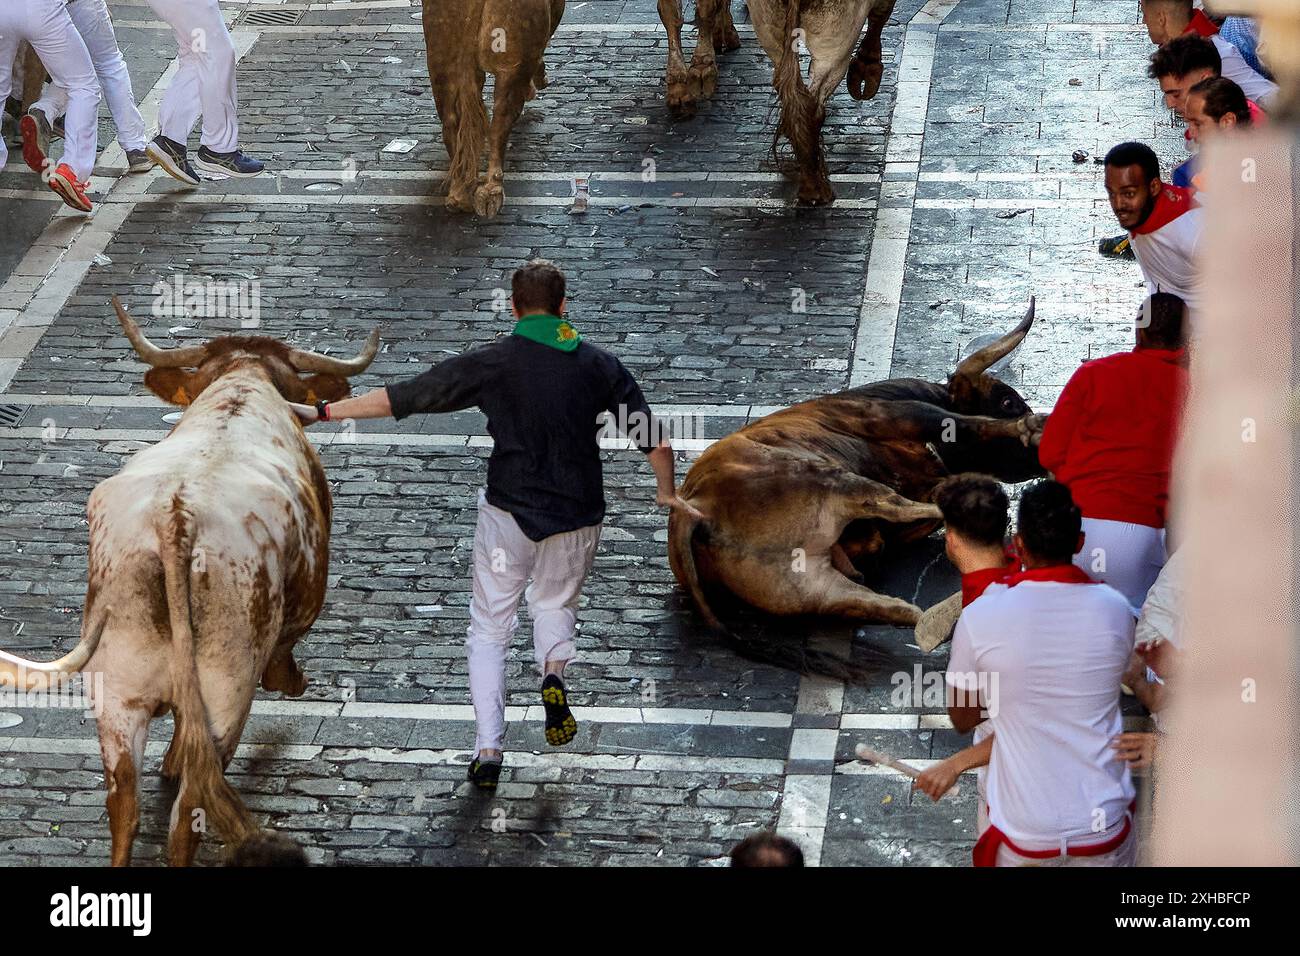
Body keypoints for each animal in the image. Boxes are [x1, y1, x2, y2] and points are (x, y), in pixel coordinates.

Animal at [0, 300, 379, 868]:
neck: (241, 386)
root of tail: (176, 515)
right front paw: (290, 679)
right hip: (226, 695)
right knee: (189, 812)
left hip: (118, 698)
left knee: (125, 802)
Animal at [670, 299, 1045, 642]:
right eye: (1008, 401)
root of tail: (696, 509)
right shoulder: (898, 414)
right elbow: (973, 424)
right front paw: (1030, 426)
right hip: (831, 478)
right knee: (896, 506)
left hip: (813, 588)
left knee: (910, 614)